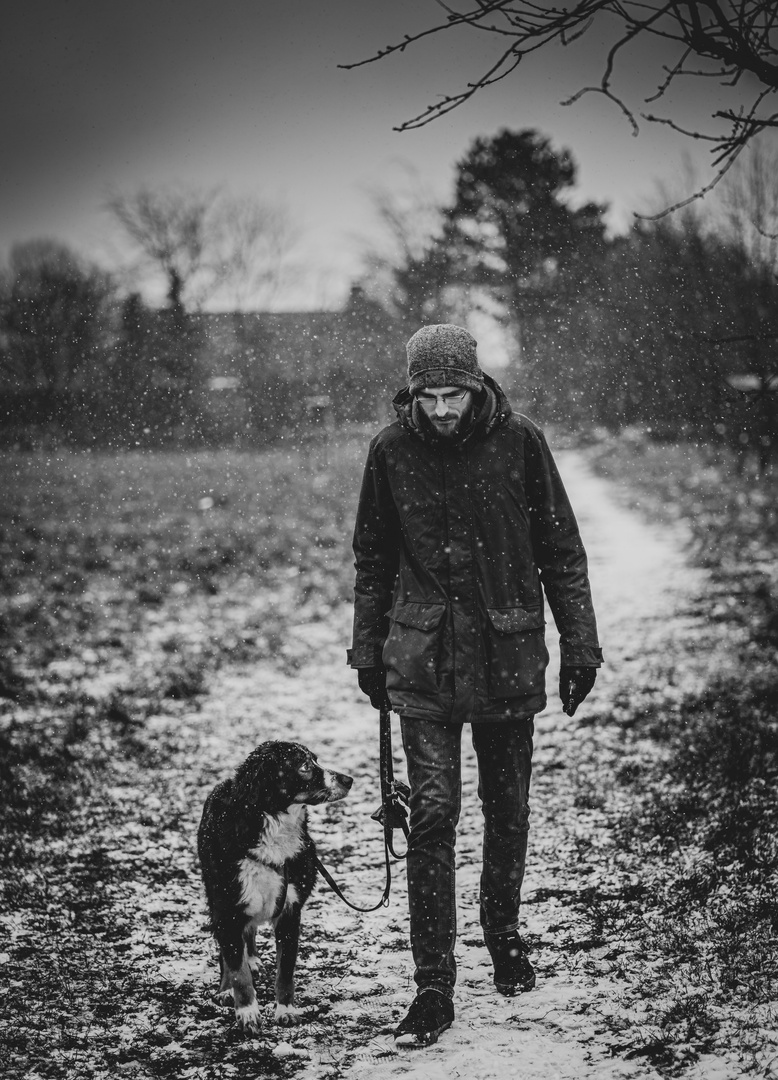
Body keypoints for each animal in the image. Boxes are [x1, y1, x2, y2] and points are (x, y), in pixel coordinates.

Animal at [197, 743, 352, 1028]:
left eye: (316, 760)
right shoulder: (228, 907)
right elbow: (237, 970)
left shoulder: (290, 910)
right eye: (305, 766)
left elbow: (286, 969)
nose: (348, 780)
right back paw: (226, 988)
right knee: (228, 953)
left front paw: (285, 1009)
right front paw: (247, 1012)